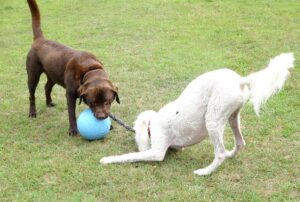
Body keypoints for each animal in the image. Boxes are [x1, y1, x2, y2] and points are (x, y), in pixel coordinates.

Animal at [25, 0, 119, 136]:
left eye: (107, 102)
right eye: (93, 103)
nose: (101, 117)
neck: (89, 69)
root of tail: (40, 39)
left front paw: (110, 125)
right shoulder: (69, 94)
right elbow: (71, 113)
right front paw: (73, 130)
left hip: (53, 74)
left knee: (47, 87)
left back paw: (49, 102)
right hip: (33, 75)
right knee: (32, 95)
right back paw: (32, 112)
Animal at [99, 53, 294, 175]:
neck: (152, 124)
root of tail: (240, 80)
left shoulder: (156, 152)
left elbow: (129, 156)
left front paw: (107, 159)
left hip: (213, 120)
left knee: (220, 153)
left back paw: (205, 172)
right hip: (232, 116)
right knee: (239, 143)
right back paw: (230, 154)